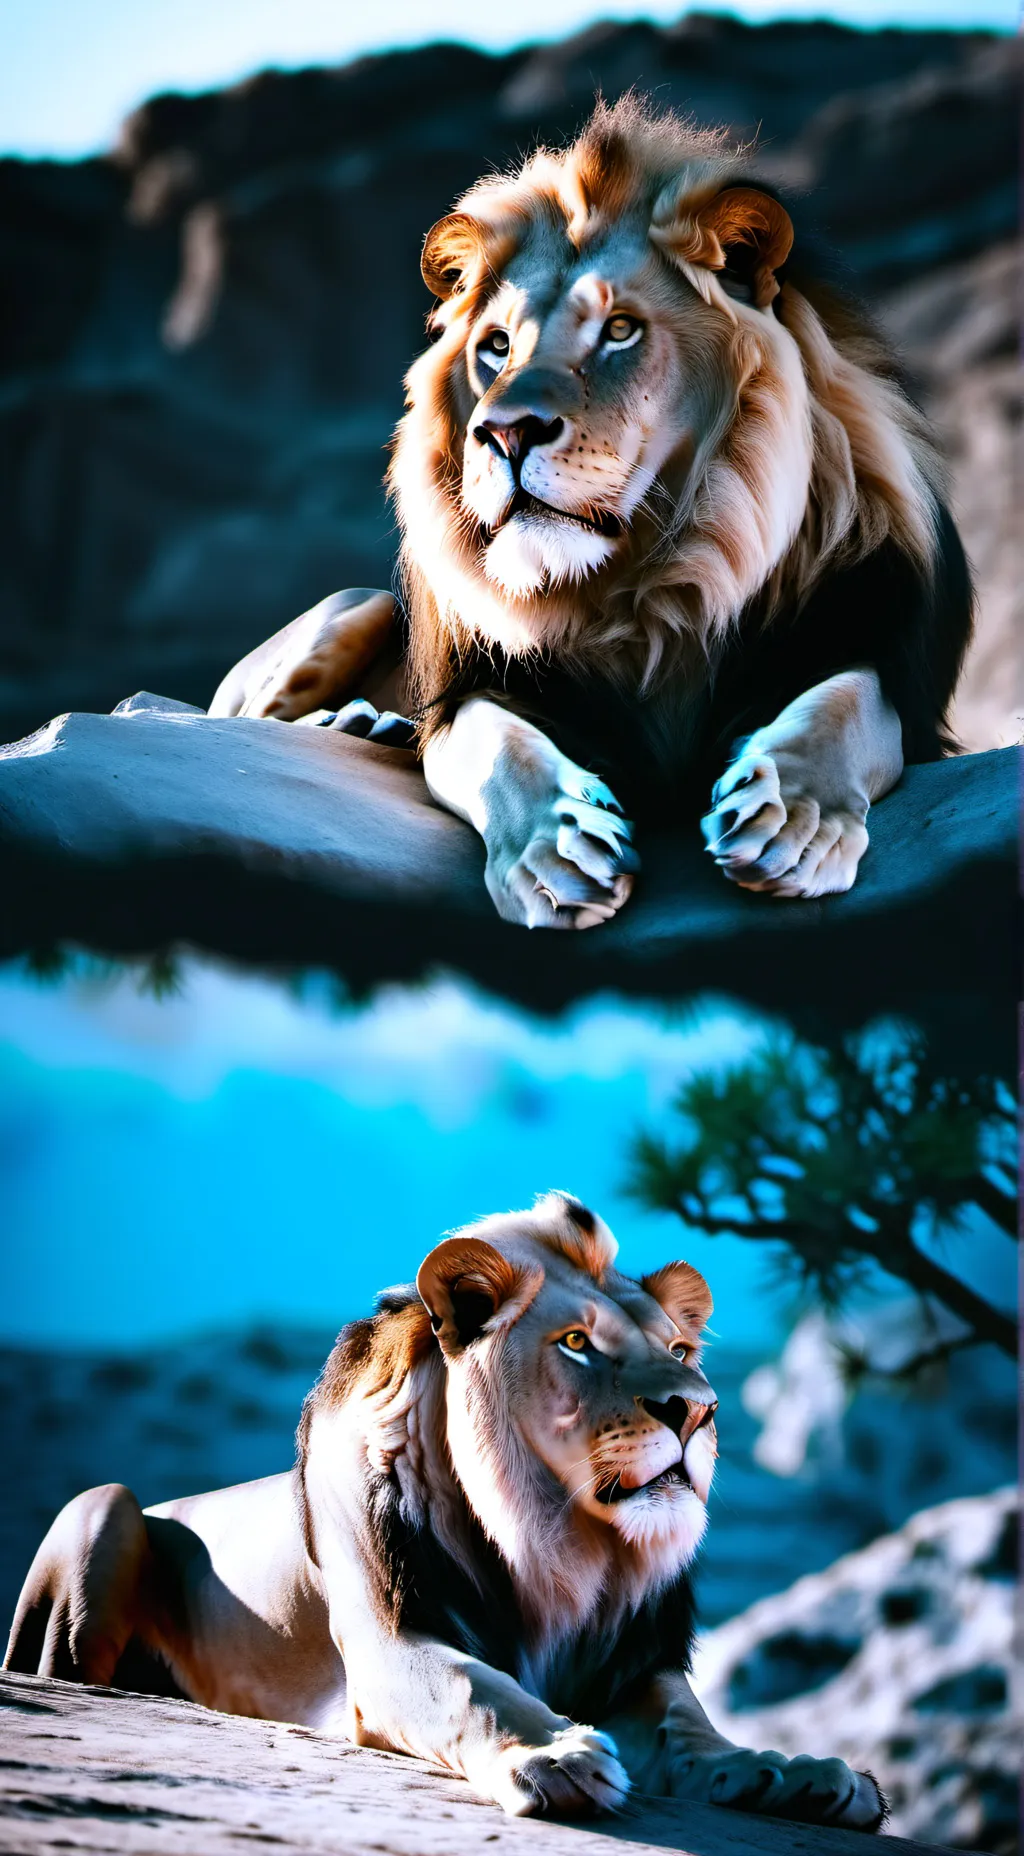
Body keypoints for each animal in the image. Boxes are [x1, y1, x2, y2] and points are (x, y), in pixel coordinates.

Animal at [5, 1193, 885, 1828]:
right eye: (576, 1343)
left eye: (679, 1352)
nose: (696, 1410)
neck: (559, 1545)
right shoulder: (388, 1638)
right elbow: (475, 1685)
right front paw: (555, 1755)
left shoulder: (632, 1663)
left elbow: (690, 1726)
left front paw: (793, 1771)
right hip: (105, 1507)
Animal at [209, 96, 973, 929]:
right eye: (496, 345)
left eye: (619, 330)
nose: (506, 432)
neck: (654, 592)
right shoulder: (466, 696)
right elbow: (498, 747)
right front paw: (556, 855)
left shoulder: (887, 664)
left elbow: (843, 708)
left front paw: (789, 824)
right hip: (362, 606)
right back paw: (355, 722)